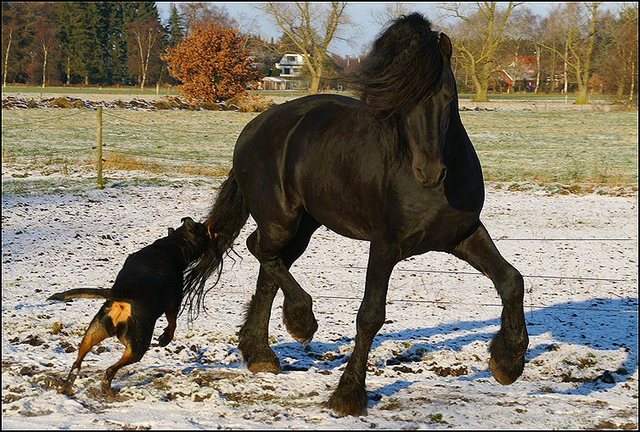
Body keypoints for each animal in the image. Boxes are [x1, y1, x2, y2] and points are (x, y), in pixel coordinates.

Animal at [50, 218, 210, 396]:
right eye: (203, 229)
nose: (210, 227)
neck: (173, 244)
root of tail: (122, 295)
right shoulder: (174, 301)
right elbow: (172, 323)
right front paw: (165, 338)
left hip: (92, 334)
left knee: (77, 363)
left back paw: (66, 387)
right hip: (137, 347)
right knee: (110, 369)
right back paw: (107, 388)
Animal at [182, 13, 528, 416]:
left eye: (445, 97)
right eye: (399, 102)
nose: (428, 171)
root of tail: (256, 127)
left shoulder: (463, 235)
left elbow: (511, 281)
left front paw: (508, 362)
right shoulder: (385, 246)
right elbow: (370, 315)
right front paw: (348, 394)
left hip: (305, 226)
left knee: (269, 268)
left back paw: (261, 354)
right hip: (282, 220)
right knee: (260, 250)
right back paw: (300, 321)